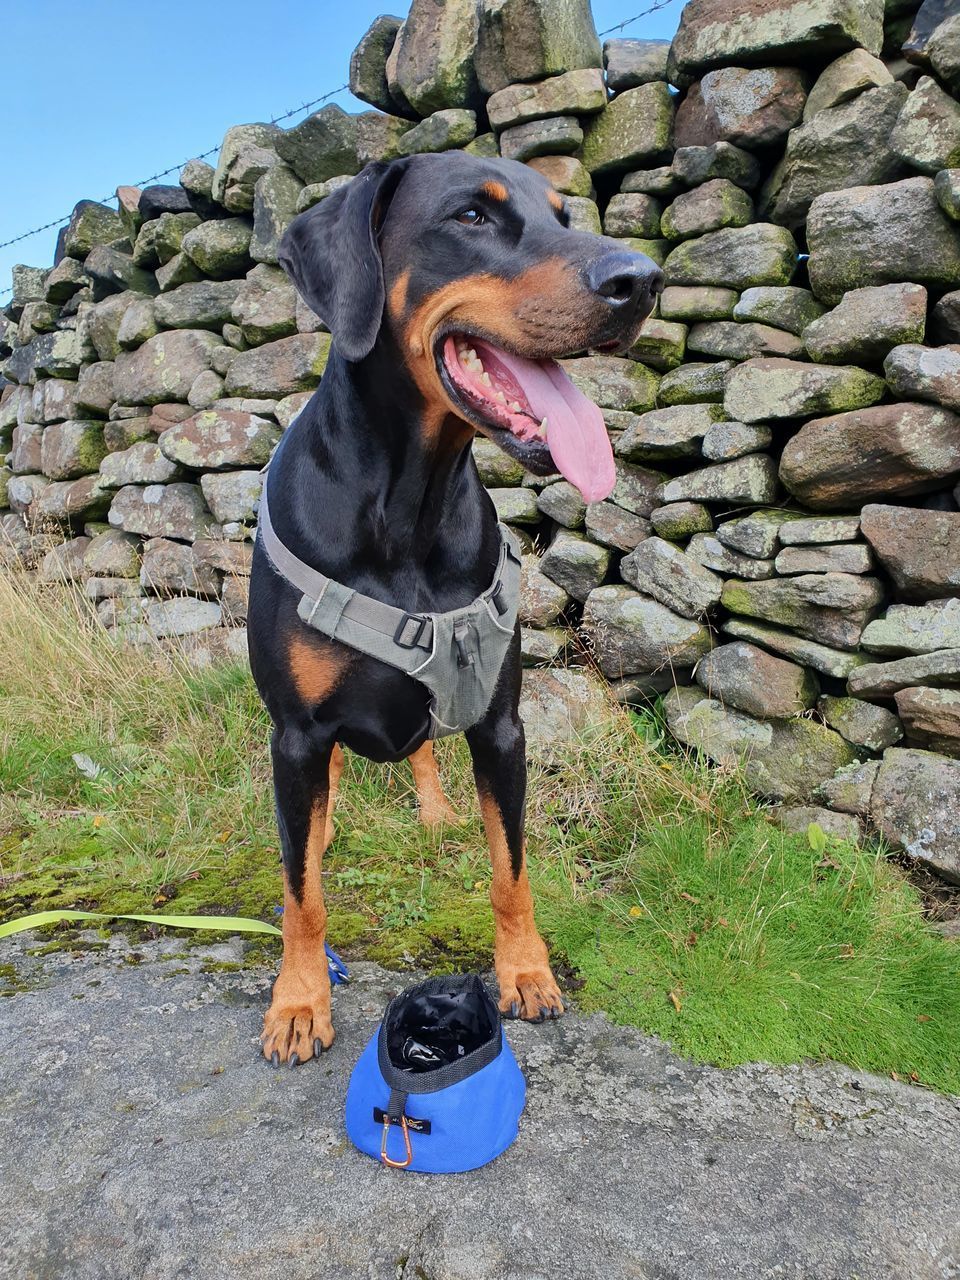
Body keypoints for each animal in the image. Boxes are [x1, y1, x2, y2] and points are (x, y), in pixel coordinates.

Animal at [248, 149, 665, 1064]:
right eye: (472, 216)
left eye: (566, 214)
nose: (643, 280)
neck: (409, 503)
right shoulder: (295, 732)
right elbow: (301, 893)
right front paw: (298, 1001)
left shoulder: (503, 725)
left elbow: (510, 868)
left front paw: (525, 971)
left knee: (424, 750)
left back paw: (435, 810)